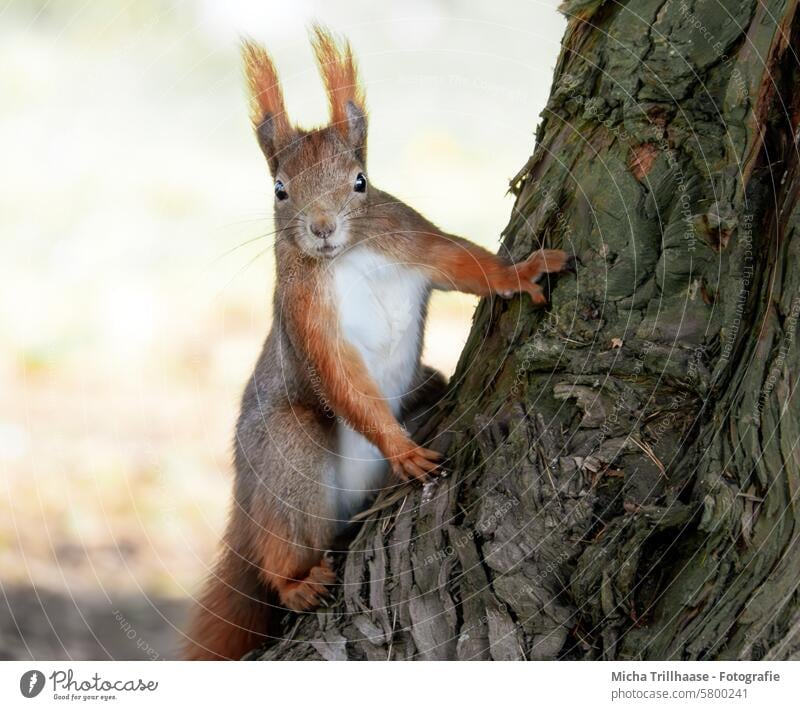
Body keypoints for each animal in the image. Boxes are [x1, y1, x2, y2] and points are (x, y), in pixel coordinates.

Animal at [183, 26, 568, 660]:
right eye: (280, 190)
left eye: (360, 182)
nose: (322, 228)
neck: (350, 255)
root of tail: (245, 495)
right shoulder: (305, 312)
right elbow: (339, 376)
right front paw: (400, 449)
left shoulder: (411, 238)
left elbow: (466, 264)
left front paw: (522, 272)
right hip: (285, 454)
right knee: (277, 546)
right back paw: (295, 583)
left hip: (422, 387)